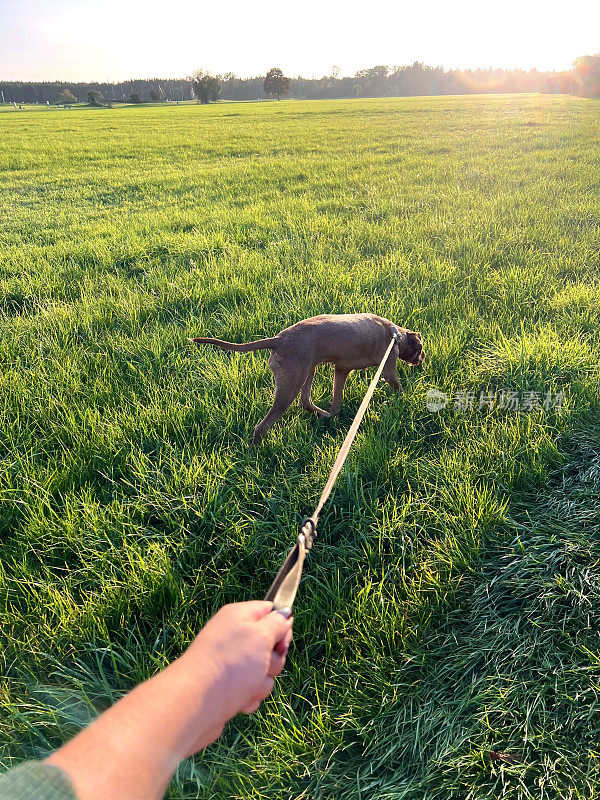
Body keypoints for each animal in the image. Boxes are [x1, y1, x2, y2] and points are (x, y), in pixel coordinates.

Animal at [190, 312, 424, 444]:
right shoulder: (388, 369)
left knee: (305, 402)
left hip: (308, 370)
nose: (423, 359)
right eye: (421, 348)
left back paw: (324, 415)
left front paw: (335, 416)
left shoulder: (341, 369)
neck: (395, 334)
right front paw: (406, 402)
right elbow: (399, 388)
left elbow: (337, 401)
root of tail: (279, 339)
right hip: (291, 384)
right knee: (262, 426)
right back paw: (254, 455)